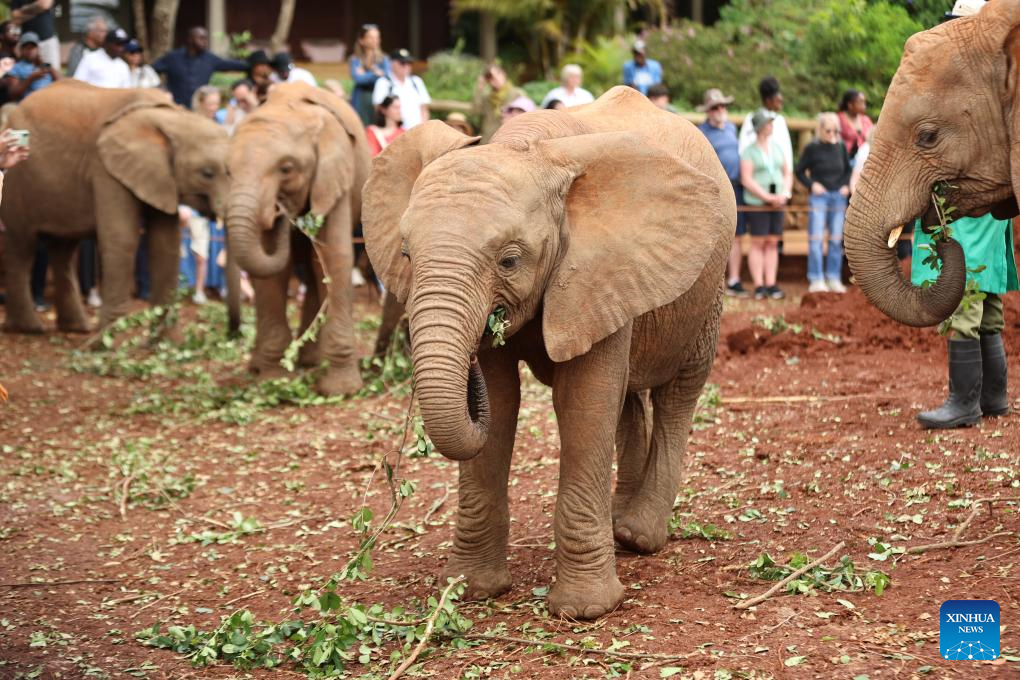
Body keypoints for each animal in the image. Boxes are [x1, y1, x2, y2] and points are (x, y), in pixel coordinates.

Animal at [0, 80, 234, 336]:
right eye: (207, 173)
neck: (172, 117)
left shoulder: (160, 179)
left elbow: (166, 243)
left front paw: (166, 341)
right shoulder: (105, 167)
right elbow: (122, 239)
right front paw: (108, 340)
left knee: (63, 250)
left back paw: (78, 328)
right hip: (17, 183)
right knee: (21, 246)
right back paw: (30, 328)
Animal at [226, 82, 371, 396]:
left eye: (287, 168)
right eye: (227, 171)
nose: (278, 210)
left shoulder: (333, 176)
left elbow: (336, 257)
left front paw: (340, 390)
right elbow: (273, 270)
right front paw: (272, 380)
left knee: (315, 265)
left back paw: (310, 361)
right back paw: (264, 365)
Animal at [362, 86, 735, 619]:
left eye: (509, 260)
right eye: (407, 255)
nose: (471, 360)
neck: (526, 149)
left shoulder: (597, 268)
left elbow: (583, 403)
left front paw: (585, 610)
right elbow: (503, 403)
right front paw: (470, 589)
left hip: (708, 286)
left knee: (677, 394)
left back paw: (639, 536)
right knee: (626, 397)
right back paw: (618, 524)